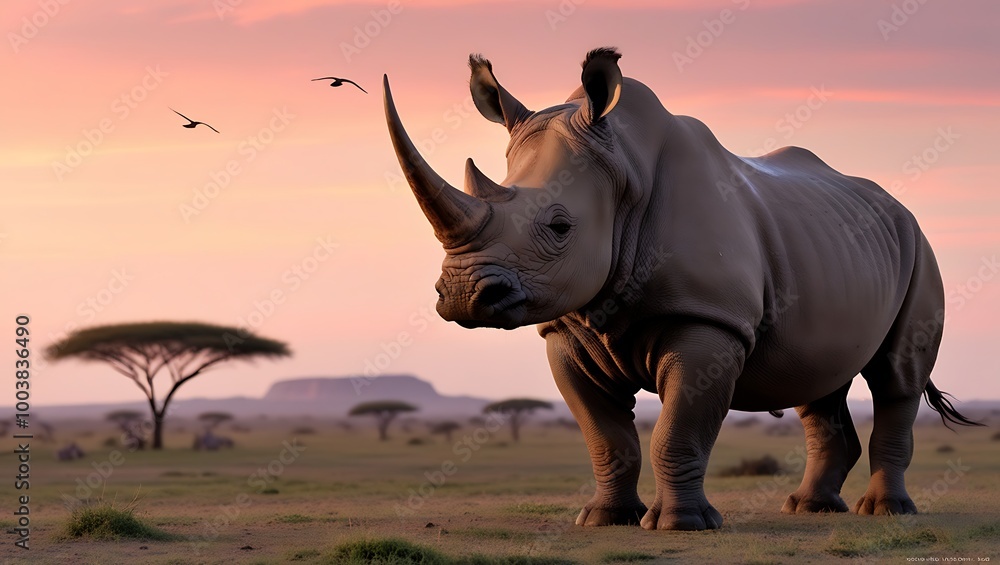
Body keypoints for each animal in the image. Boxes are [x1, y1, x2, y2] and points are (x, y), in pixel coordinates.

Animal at [382, 48, 981, 530]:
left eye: (559, 226)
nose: (463, 294)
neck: (623, 174)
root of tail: (897, 208)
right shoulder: (564, 328)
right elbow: (606, 436)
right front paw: (604, 520)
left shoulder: (709, 319)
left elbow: (678, 430)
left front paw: (683, 525)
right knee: (820, 383)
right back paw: (808, 509)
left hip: (918, 247)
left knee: (895, 377)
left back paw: (886, 513)